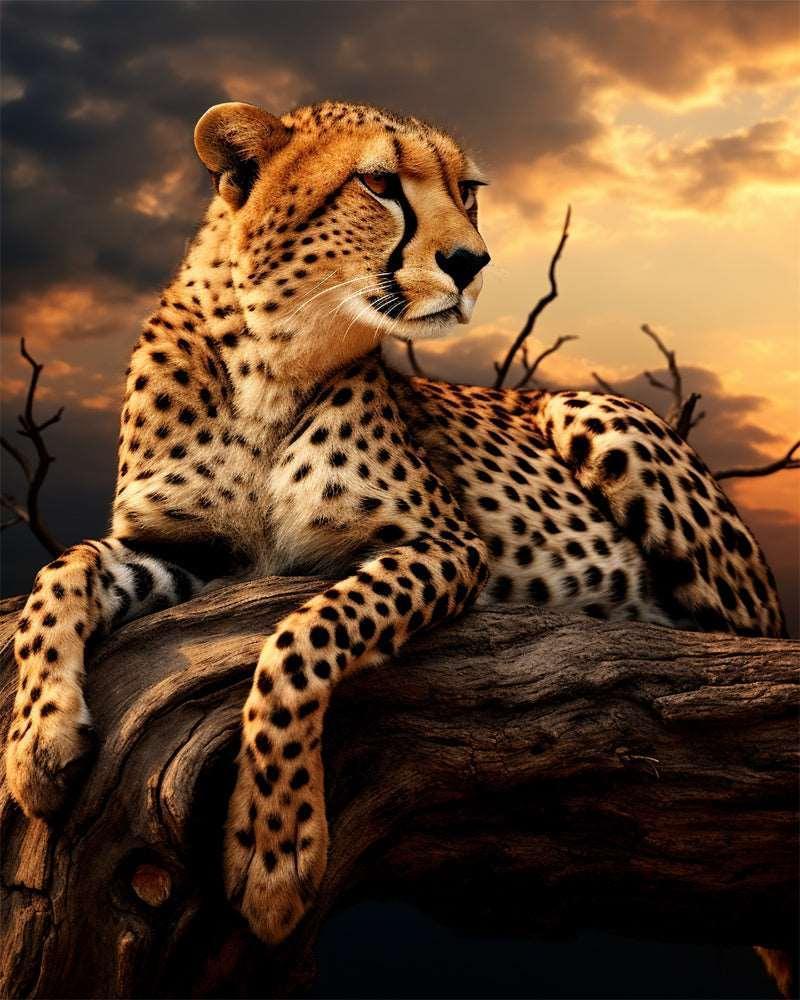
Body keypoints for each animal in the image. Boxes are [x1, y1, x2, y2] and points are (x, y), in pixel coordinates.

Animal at [5, 100, 786, 948]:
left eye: (467, 190)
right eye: (378, 183)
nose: (472, 262)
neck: (266, 364)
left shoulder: (446, 544)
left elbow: (302, 637)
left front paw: (276, 849)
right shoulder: (189, 552)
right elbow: (63, 568)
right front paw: (36, 739)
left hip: (594, 414)